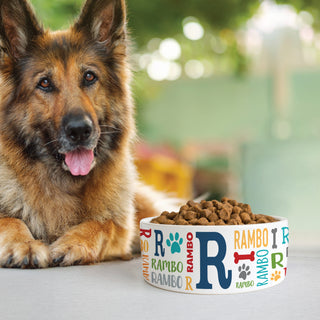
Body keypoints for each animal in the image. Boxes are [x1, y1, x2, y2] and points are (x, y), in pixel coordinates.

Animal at [0, 0, 161, 268]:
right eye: (44, 83)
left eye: (89, 76)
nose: (80, 131)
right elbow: (9, 219)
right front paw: (23, 244)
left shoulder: (119, 227)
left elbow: (103, 224)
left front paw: (74, 243)